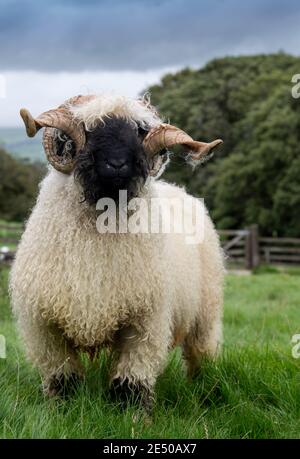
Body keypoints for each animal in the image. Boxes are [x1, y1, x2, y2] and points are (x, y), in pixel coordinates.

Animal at [9, 92, 225, 410]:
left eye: (139, 132)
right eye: (88, 130)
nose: (117, 164)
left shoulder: (145, 319)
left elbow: (132, 378)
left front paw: (133, 413)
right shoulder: (43, 324)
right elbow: (62, 376)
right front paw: (62, 408)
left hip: (205, 312)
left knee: (202, 352)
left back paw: (204, 389)